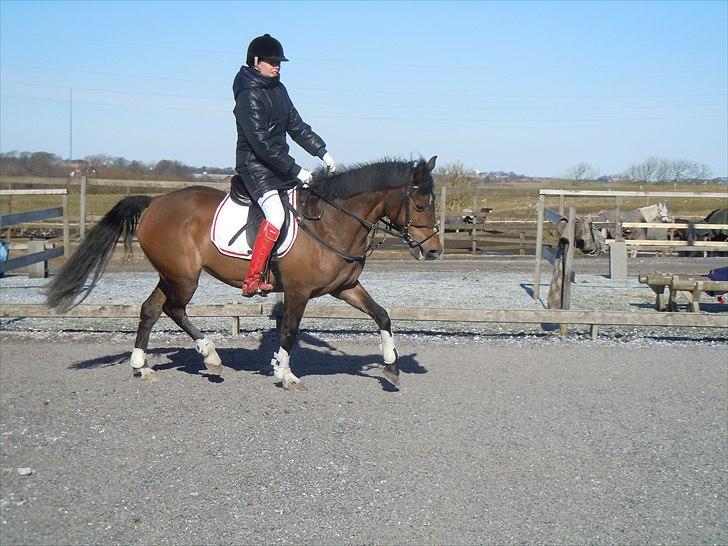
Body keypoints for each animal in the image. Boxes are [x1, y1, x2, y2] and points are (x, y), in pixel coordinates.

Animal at [45, 157, 442, 389]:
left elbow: (382, 315)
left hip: (170, 275)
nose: (434, 251)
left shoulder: (345, 287)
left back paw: (141, 366)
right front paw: (284, 372)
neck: (331, 221)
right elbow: (290, 330)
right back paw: (210, 356)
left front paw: (391, 366)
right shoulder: (297, 292)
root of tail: (155, 201)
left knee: (150, 309)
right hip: (184, 277)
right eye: (421, 205)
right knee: (173, 309)